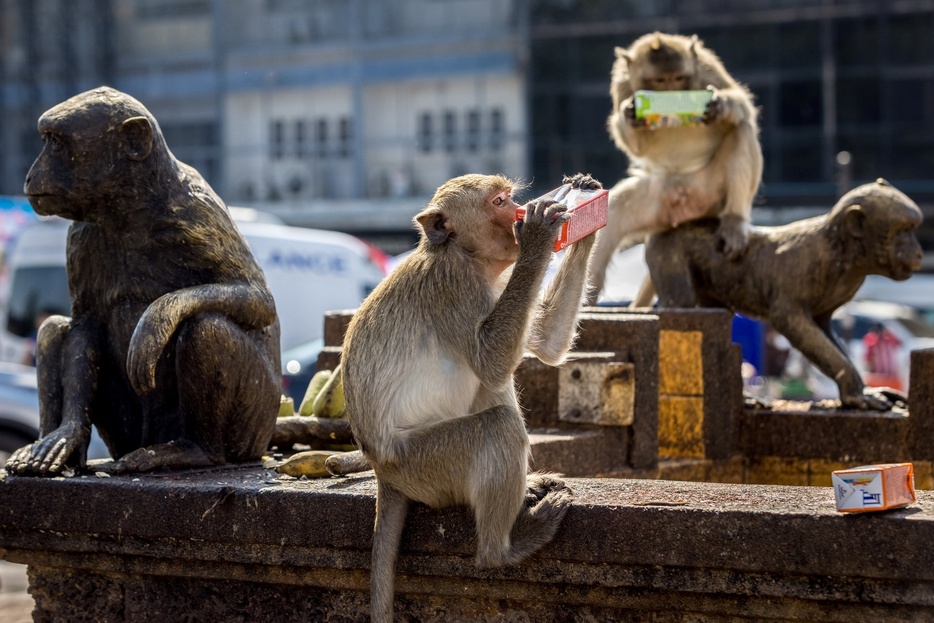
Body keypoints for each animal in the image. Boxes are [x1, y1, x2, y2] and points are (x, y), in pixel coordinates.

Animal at [4, 86, 282, 478]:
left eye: (56, 143)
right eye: (46, 140)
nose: (30, 176)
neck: (129, 207)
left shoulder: (197, 214)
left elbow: (257, 299)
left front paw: (157, 319)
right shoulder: (80, 236)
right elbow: (85, 324)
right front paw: (67, 433)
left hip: (253, 429)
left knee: (207, 328)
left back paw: (194, 451)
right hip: (126, 435)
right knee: (54, 328)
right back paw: (61, 447)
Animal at [332, 172, 604, 623]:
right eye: (498, 202)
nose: (517, 212)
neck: (464, 255)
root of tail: (382, 470)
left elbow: (543, 345)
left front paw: (586, 210)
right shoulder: (454, 286)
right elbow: (491, 360)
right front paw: (538, 235)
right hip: (426, 464)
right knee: (497, 424)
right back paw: (503, 550)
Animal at [588, 31, 764, 308]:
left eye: (678, 79)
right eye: (661, 81)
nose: (672, 94)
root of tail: (685, 211)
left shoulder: (706, 67)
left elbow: (742, 104)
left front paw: (719, 104)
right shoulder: (622, 84)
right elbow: (635, 143)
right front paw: (630, 114)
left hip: (711, 194)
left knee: (741, 128)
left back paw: (734, 223)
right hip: (657, 203)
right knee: (611, 215)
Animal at [648, 180, 924, 412]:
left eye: (914, 228)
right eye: (904, 230)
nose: (920, 252)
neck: (844, 253)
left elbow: (823, 328)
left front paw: (862, 390)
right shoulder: (804, 268)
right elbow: (788, 320)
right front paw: (856, 394)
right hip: (668, 251)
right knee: (681, 304)